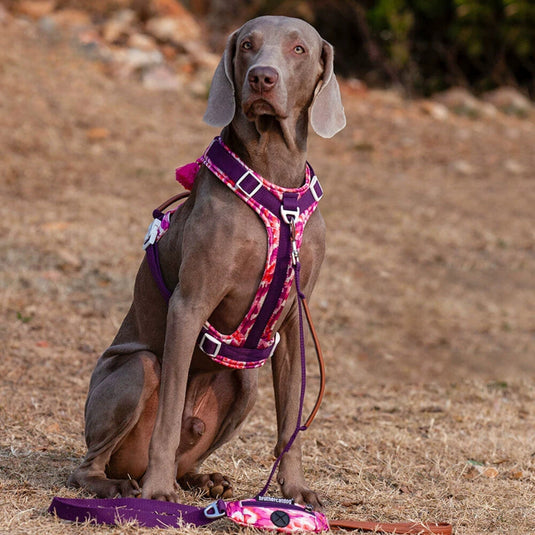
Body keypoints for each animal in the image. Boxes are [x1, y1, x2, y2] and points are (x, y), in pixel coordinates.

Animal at [69, 15, 346, 510]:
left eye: (298, 49)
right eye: (248, 45)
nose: (262, 78)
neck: (276, 183)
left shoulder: (294, 320)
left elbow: (290, 424)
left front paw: (295, 490)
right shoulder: (189, 304)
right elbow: (167, 416)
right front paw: (158, 493)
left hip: (245, 387)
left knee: (193, 452)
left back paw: (204, 481)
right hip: (135, 369)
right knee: (91, 463)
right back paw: (125, 485)